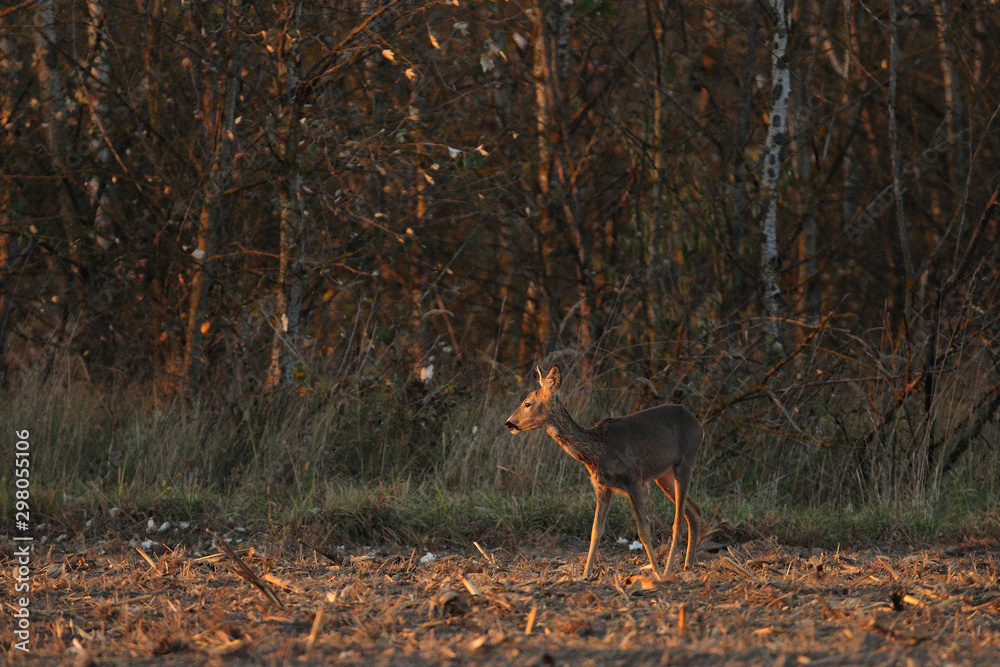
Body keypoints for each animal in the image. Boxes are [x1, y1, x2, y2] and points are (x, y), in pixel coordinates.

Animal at [504, 366, 703, 581]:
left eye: (527, 403)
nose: (509, 423)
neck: (599, 449)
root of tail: (698, 425)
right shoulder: (602, 486)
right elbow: (595, 531)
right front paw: (585, 574)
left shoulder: (634, 478)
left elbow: (643, 530)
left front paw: (656, 573)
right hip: (663, 475)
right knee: (694, 511)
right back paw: (688, 566)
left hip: (686, 460)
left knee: (678, 520)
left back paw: (667, 571)